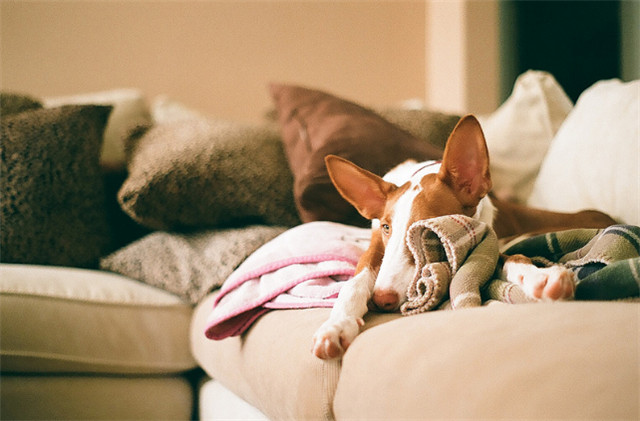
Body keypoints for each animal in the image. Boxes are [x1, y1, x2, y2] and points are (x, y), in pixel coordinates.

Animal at [311, 114, 616, 360]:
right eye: (387, 228)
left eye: (427, 230)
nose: (382, 300)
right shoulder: (376, 245)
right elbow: (354, 283)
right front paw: (335, 326)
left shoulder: (487, 237)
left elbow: (510, 257)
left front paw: (540, 278)